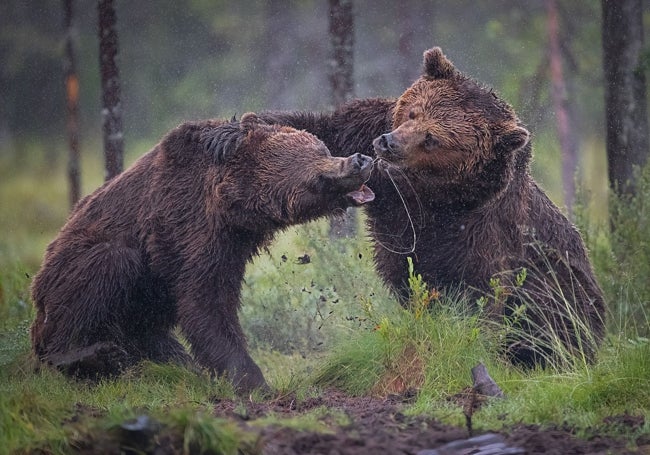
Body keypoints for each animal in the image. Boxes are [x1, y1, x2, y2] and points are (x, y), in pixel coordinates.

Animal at [30, 113, 374, 392]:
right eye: (317, 164)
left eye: (323, 149)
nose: (360, 160)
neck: (233, 206)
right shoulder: (189, 226)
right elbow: (207, 301)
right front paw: (251, 380)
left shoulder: (232, 243)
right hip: (73, 271)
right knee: (108, 268)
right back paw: (88, 355)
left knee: (153, 339)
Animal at [252, 46, 604, 366]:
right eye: (413, 112)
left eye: (432, 139)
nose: (389, 143)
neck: (431, 195)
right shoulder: (367, 132)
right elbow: (328, 129)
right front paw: (257, 122)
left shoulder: (479, 232)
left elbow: (479, 290)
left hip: (564, 293)